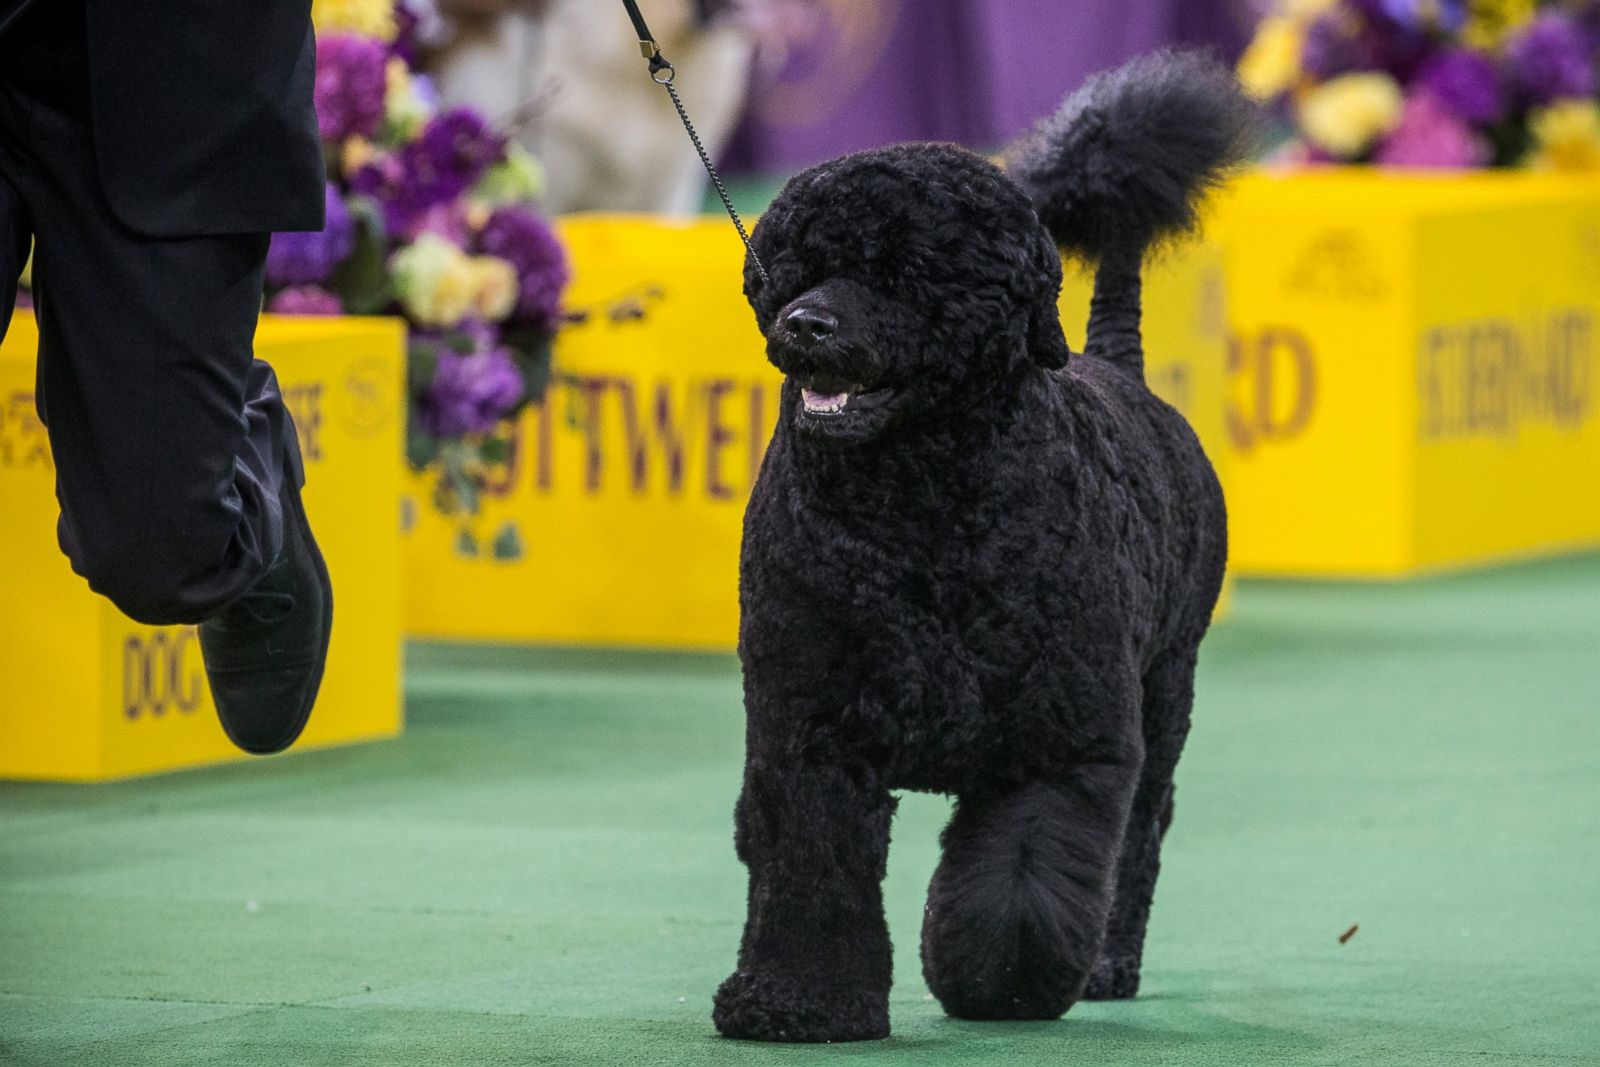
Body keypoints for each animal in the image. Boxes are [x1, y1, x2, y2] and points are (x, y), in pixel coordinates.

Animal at [720, 51, 1254, 1043]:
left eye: (903, 271)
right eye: (799, 265)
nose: (805, 323)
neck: (919, 516)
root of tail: (1120, 367)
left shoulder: (1058, 744)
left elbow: (1018, 881)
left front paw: (1001, 984)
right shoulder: (807, 732)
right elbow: (811, 875)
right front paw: (796, 1002)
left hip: (1164, 695)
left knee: (1140, 841)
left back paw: (1107, 965)